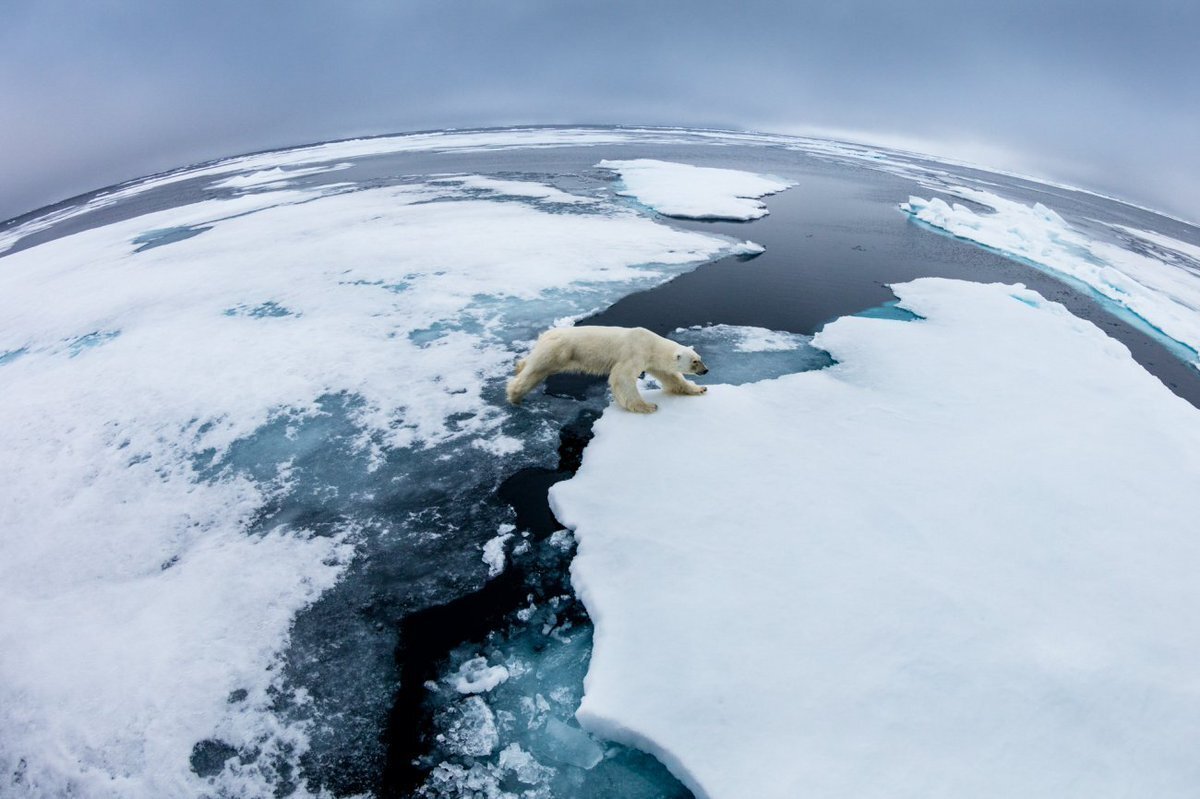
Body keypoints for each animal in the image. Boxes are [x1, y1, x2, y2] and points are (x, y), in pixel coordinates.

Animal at [504, 323, 705, 410]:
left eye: (699, 358)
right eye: (694, 362)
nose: (706, 370)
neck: (651, 343)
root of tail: (545, 335)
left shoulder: (651, 360)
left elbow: (670, 376)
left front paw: (699, 389)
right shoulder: (634, 352)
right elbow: (621, 377)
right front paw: (647, 406)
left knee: (531, 363)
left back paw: (519, 366)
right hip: (557, 352)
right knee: (535, 371)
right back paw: (515, 396)